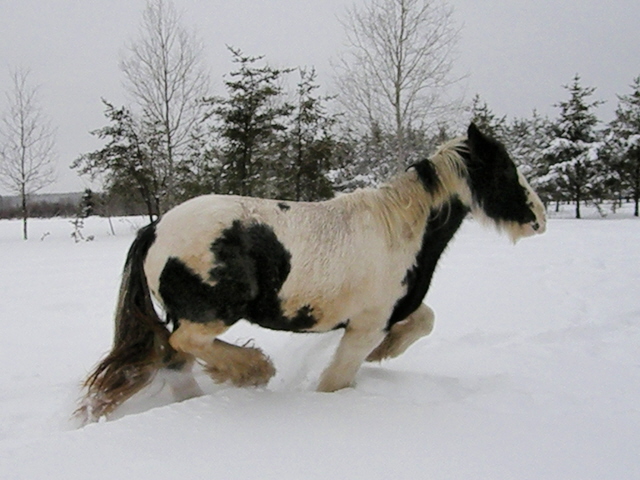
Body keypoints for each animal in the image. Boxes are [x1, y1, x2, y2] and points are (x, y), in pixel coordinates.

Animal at [75, 123, 544, 424]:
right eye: (504, 170)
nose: (538, 219)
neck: (399, 230)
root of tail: (154, 229)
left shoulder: (393, 310)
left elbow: (425, 319)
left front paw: (385, 353)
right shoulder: (365, 324)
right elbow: (336, 381)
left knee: (175, 359)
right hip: (211, 314)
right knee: (184, 345)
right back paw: (252, 370)